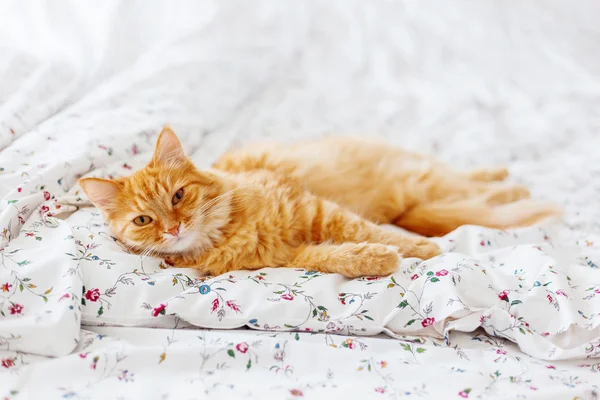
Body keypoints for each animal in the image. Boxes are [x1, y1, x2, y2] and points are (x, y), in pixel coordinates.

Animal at [78, 128, 556, 278]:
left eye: (178, 196)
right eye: (144, 220)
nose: (173, 228)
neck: (227, 232)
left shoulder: (314, 209)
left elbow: (369, 232)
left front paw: (419, 250)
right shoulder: (287, 256)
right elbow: (336, 257)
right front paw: (379, 259)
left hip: (419, 182)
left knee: (468, 183)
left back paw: (510, 183)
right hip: (421, 192)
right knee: (466, 192)